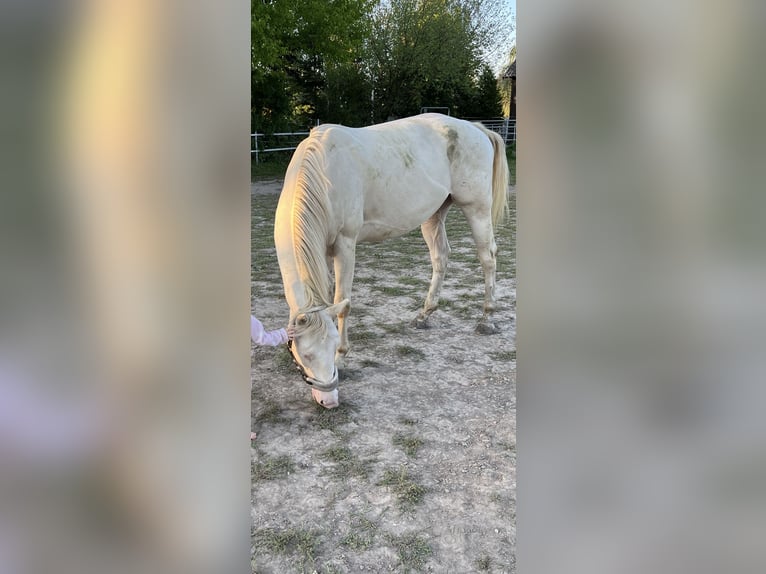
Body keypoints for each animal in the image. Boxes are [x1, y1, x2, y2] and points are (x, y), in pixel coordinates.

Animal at [274, 113, 510, 410]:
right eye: (304, 355)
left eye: (332, 345)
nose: (329, 400)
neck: (324, 175)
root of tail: (476, 128)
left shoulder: (345, 246)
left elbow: (342, 302)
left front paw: (343, 357)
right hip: (434, 214)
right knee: (441, 257)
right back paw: (424, 315)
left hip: (476, 209)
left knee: (487, 257)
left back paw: (487, 318)